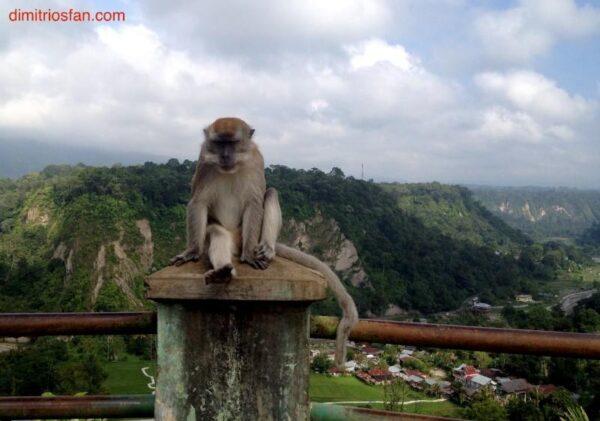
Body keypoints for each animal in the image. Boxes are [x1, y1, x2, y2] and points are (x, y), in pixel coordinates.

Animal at [170, 117, 356, 364]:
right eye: (219, 144)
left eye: (233, 143)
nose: (225, 156)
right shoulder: (204, 161)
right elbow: (198, 202)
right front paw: (192, 251)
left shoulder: (256, 161)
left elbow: (255, 201)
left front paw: (250, 255)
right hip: (230, 237)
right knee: (218, 233)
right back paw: (222, 272)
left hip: (248, 233)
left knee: (271, 194)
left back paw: (265, 249)